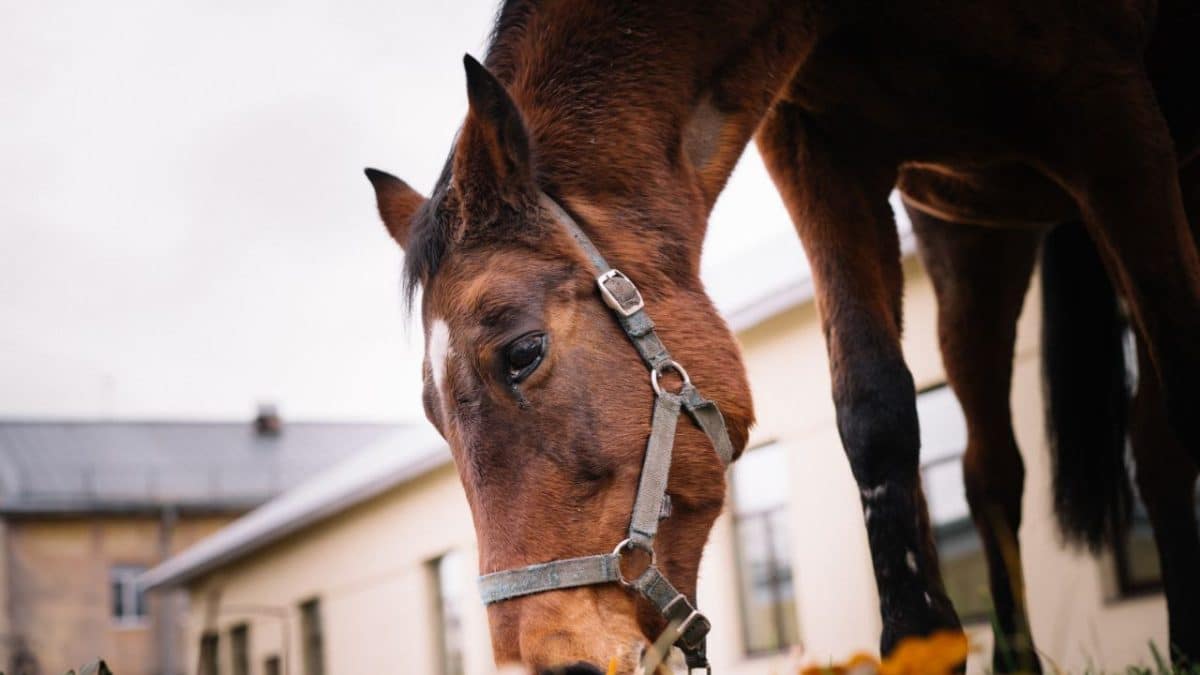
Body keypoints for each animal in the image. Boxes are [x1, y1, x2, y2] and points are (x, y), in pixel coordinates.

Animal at [367, 2, 1200, 667]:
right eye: (432, 416)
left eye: (522, 353)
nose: (547, 663)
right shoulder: (820, 149)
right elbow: (874, 413)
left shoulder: (1110, 112)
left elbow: (1178, 394)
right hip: (966, 235)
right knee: (996, 466)